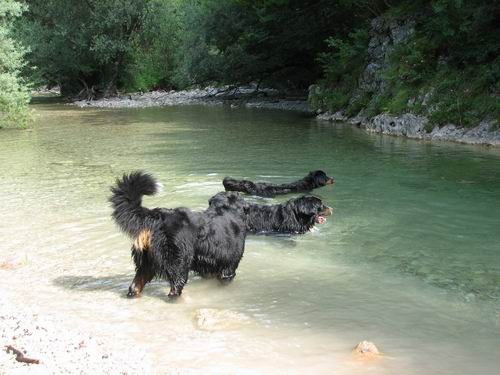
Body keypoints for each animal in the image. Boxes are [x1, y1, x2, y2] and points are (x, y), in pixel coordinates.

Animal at [111, 173, 248, 300]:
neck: (227, 211)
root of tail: (156, 216)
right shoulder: (228, 268)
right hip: (177, 263)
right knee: (175, 288)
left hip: (146, 263)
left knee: (134, 286)